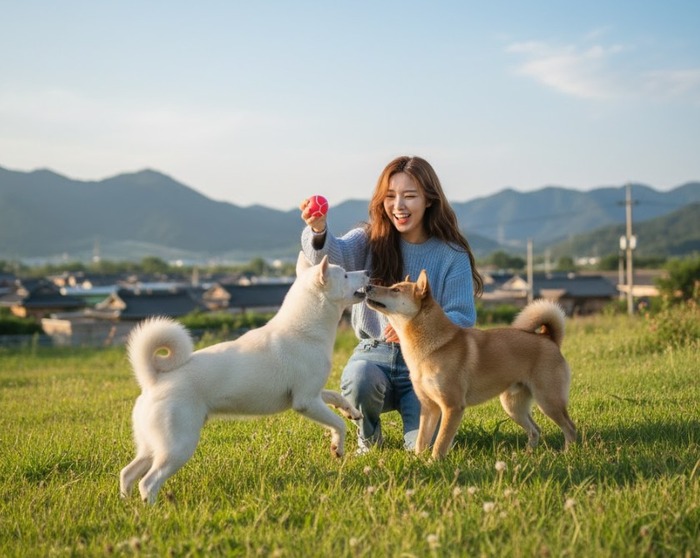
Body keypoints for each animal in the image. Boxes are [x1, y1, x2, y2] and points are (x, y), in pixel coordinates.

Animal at [120, 252, 369, 503]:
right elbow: (338, 424)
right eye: (345, 275)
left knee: (127, 473)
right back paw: (154, 508)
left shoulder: (315, 394)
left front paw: (352, 412)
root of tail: (153, 380)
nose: (368, 272)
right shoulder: (306, 402)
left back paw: (128, 504)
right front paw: (337, 447)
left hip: (153, 447)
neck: (303, 330)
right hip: (178, 446)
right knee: (147, 482)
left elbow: (336, 397)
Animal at [365, 270, 576, 459]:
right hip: (513, 406)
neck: (435, 346)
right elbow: (421, 441)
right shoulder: (429, 407)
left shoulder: (452, 407)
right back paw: (528, 454)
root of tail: (548, 339)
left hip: (548, 401)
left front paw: (433, 463)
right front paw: (418, 461)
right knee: (535, 430)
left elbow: (440, 442)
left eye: (396, 290)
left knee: (570, 428)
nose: (367, 286)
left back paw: (568, 454)